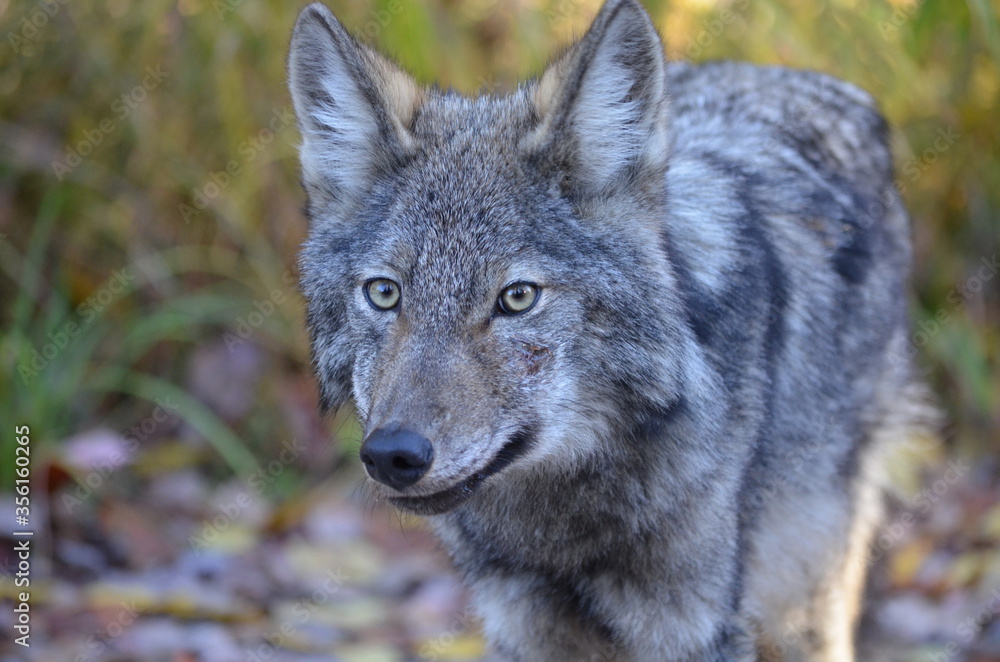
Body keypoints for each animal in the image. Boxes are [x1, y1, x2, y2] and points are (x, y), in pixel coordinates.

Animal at [287, 0, 932, 659]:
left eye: (517, 298)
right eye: (384, 293)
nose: (393, 454)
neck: (562, 529)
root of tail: (793, 76)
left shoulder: (696, 630)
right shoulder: (524, 628)